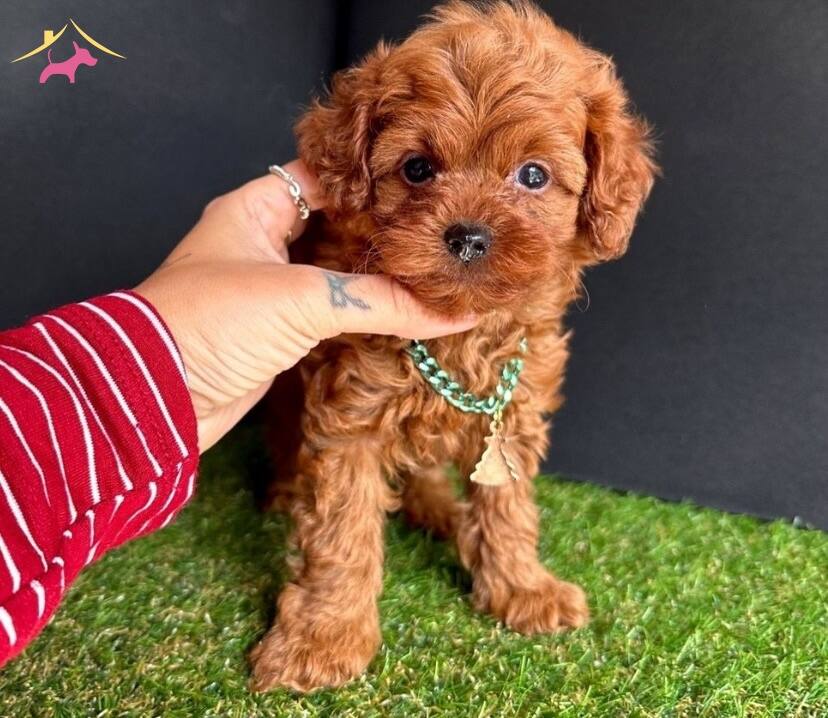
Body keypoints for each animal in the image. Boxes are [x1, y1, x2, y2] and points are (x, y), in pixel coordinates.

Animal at [251, 0, 656, 692]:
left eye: (532, 175)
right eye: (417, 168)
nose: (468, 235)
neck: (462, 334)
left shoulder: (514, 413)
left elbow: (508, 505)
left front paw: (522, 588)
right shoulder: (349, 416)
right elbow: (340, 531)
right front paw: (322, 638)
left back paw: (439, 507)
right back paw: (285, 493)